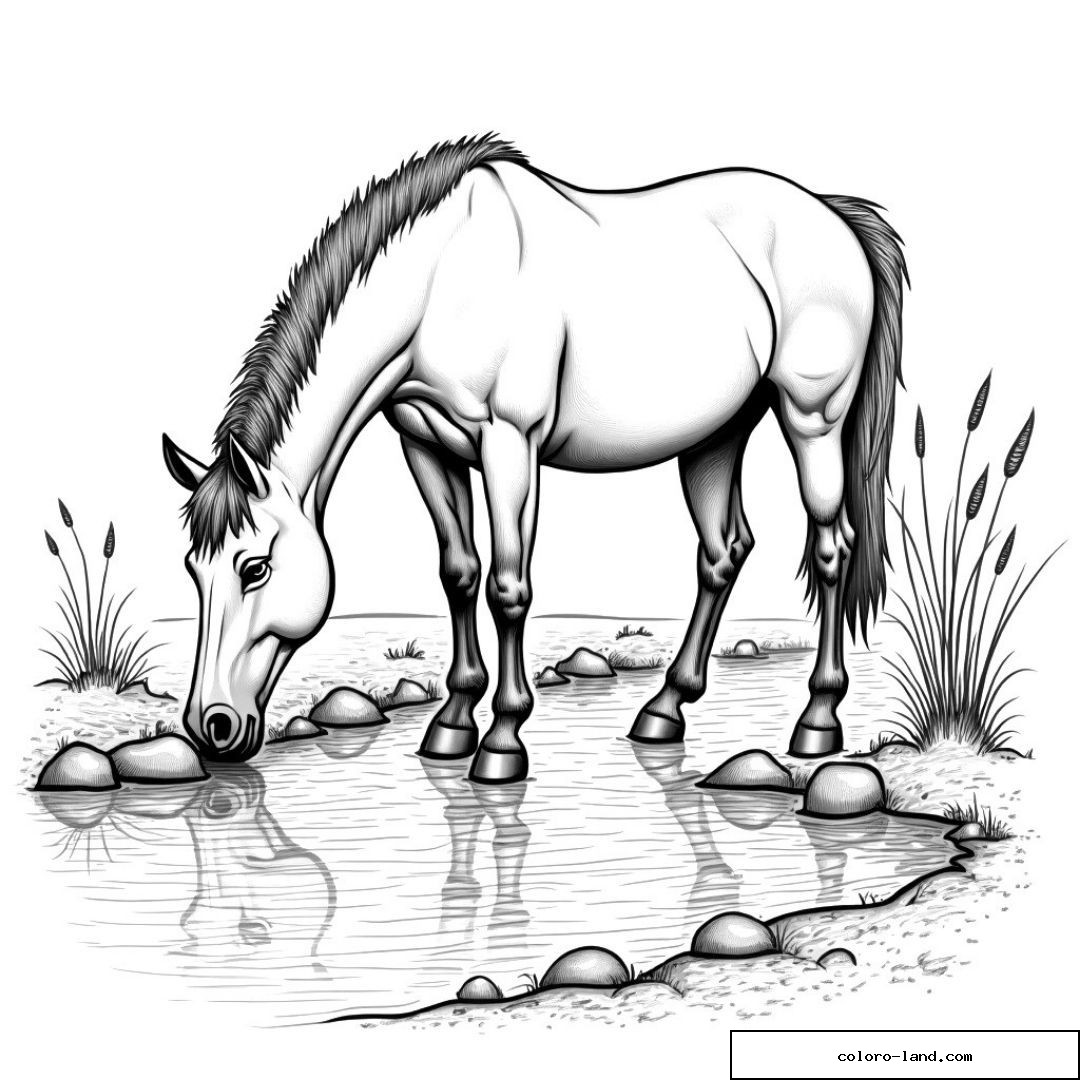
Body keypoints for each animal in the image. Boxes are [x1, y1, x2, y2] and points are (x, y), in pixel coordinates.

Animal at [162, 135, 907, 784]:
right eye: (192, 571)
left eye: (254, 567)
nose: (212, 728)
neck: (443, 282)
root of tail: (833, 214)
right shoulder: (424, 444)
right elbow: (460, 574)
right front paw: (452, 723)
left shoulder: (508, 443)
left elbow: (508, 586)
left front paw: (501, 740)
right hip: (716, 434)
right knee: (723, 553)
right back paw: (664, 711)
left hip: (812, 421)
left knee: (831, 548)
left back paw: (817, 721)